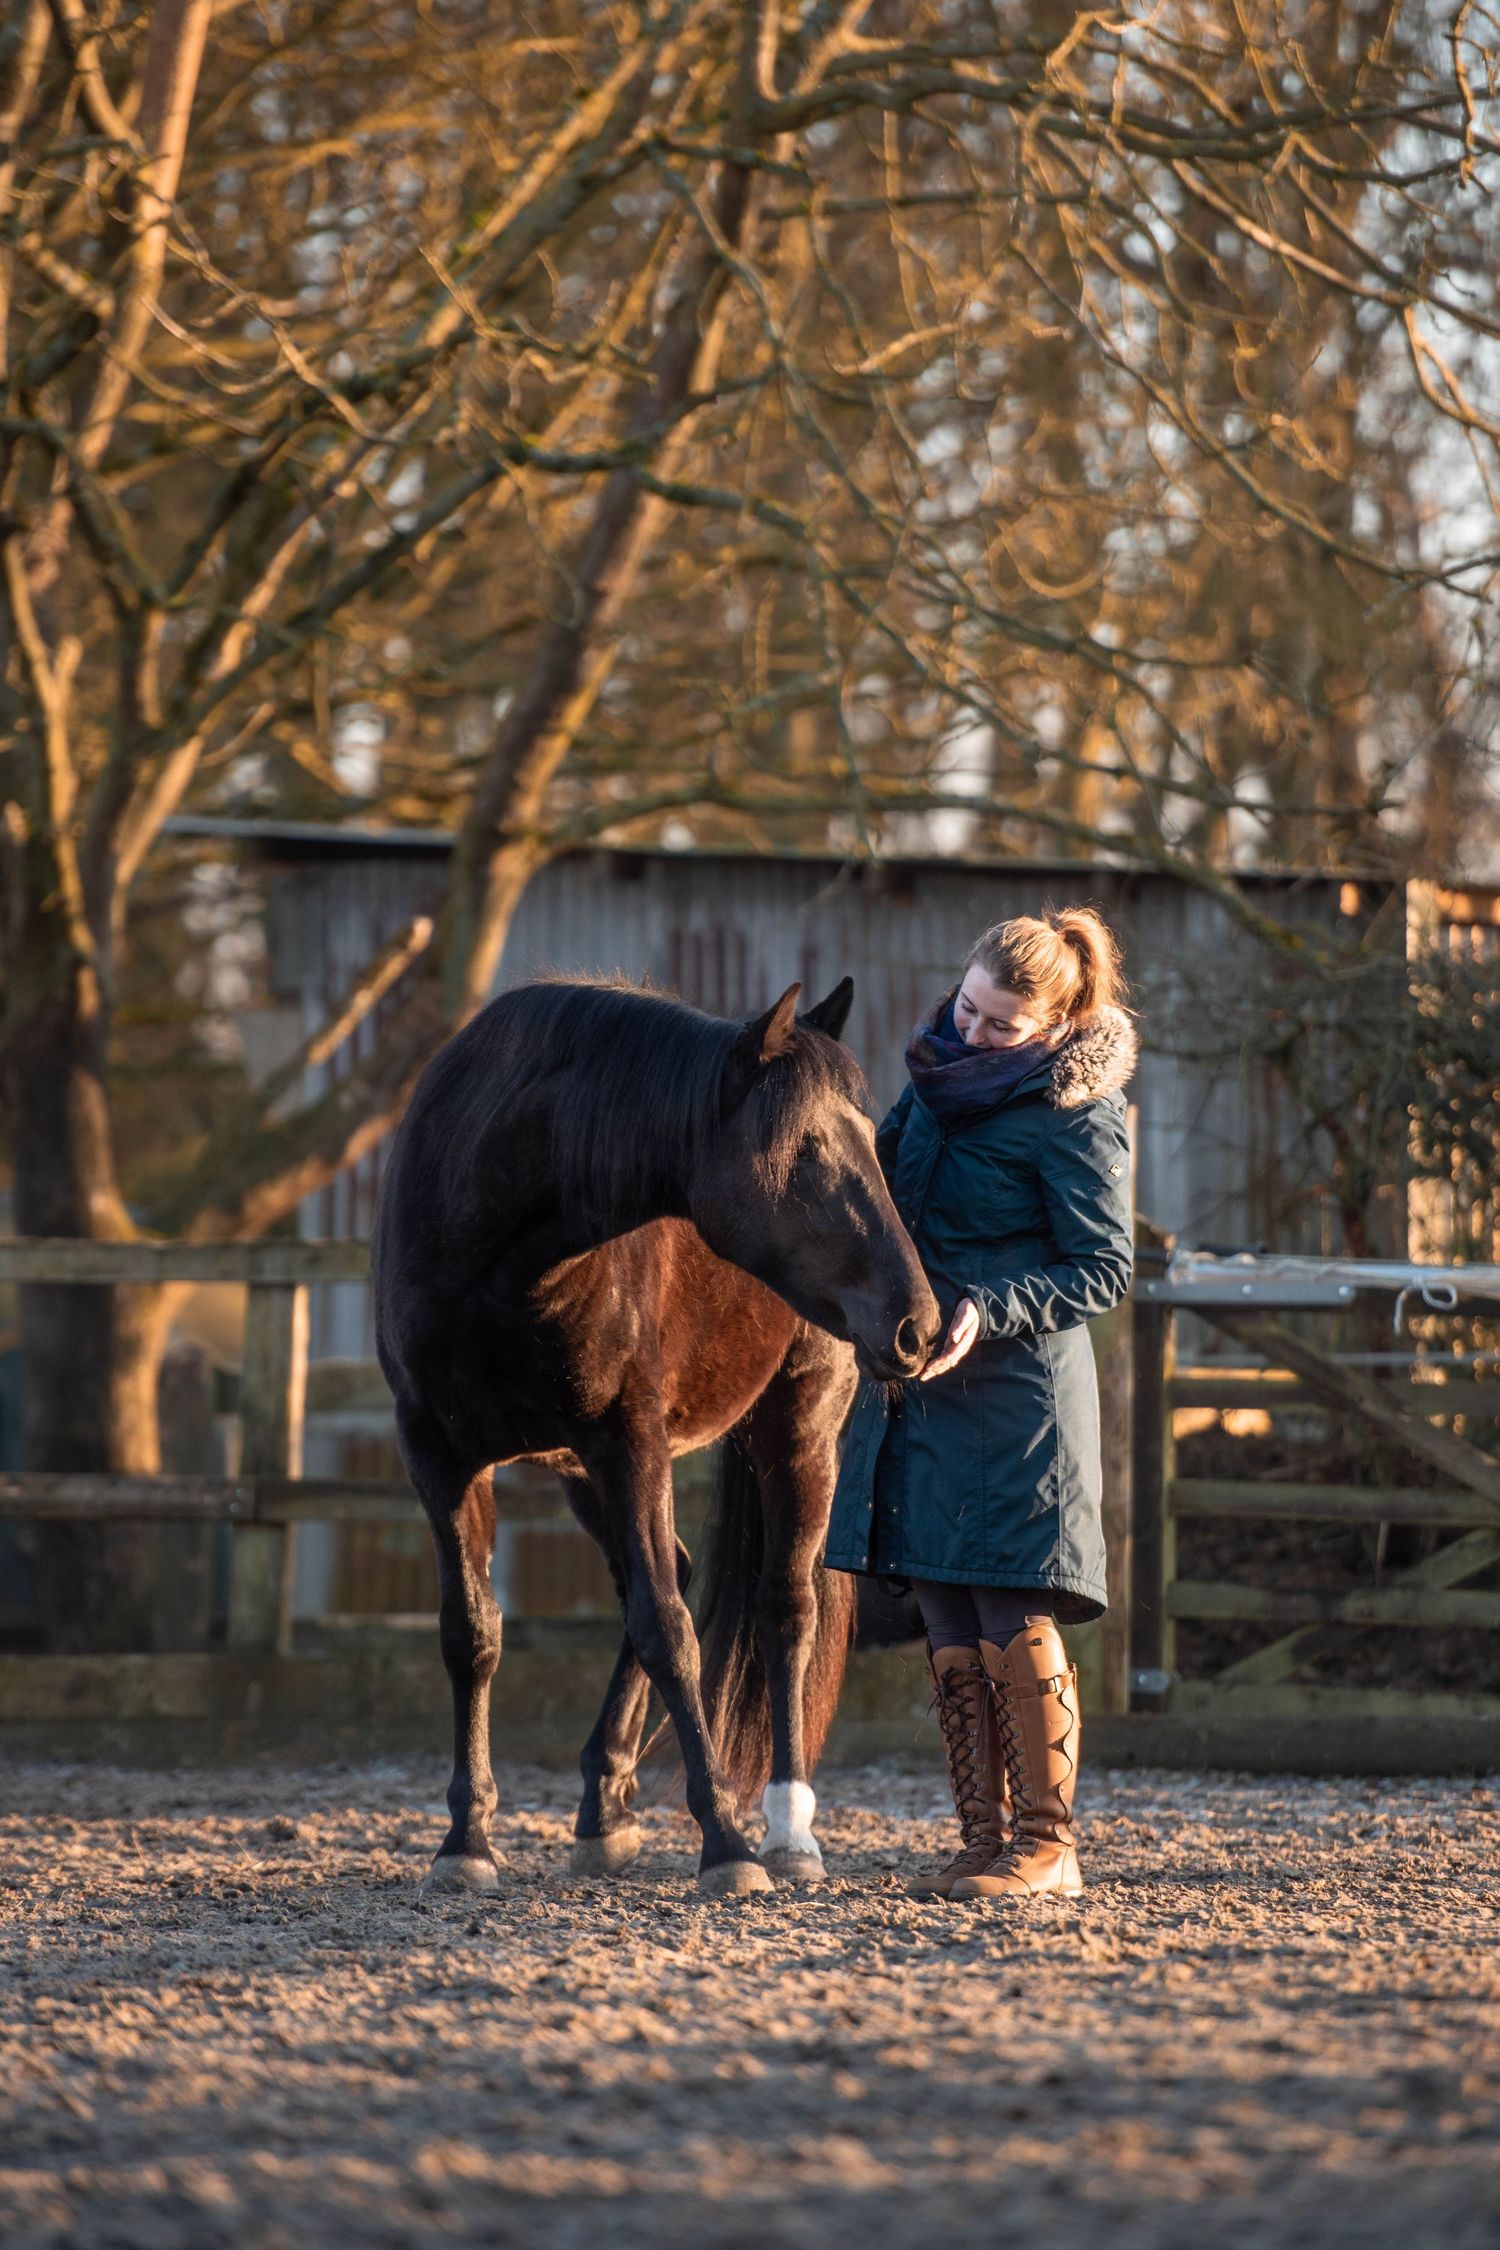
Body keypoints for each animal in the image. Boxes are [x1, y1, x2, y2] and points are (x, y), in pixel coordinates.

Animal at [372, 974, 939, 1898]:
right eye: (808, 1146)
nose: (917, 1324)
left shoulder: (627, 1439)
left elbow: (670, 1632)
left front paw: (728, 1844)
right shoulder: (441, 1455)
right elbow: (472, 1634)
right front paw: (466, 1840)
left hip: (796, 1425)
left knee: (784, 1610)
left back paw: (786, 1831)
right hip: (580, 1469)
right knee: (664, 1572)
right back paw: (604, 1804)